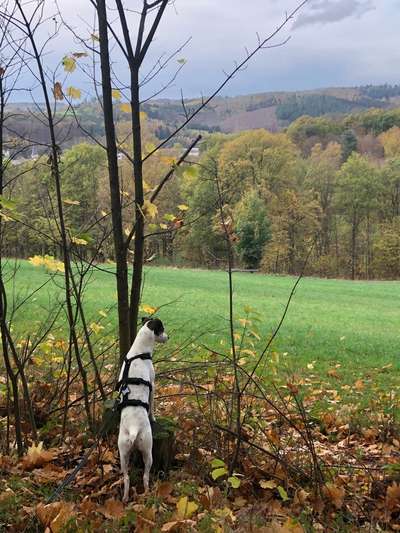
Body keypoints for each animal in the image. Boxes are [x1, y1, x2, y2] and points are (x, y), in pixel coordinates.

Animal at [115, 318, 167, 500]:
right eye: (162, 329)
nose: (168, 337)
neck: (138, 352)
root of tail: (133, 429)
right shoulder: (153, 384)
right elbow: (152, 405)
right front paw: (154, 417)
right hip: (148, 451)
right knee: (145, 476)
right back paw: (147, 492)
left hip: (123, 453)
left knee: (126, 478)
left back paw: (125, 498)